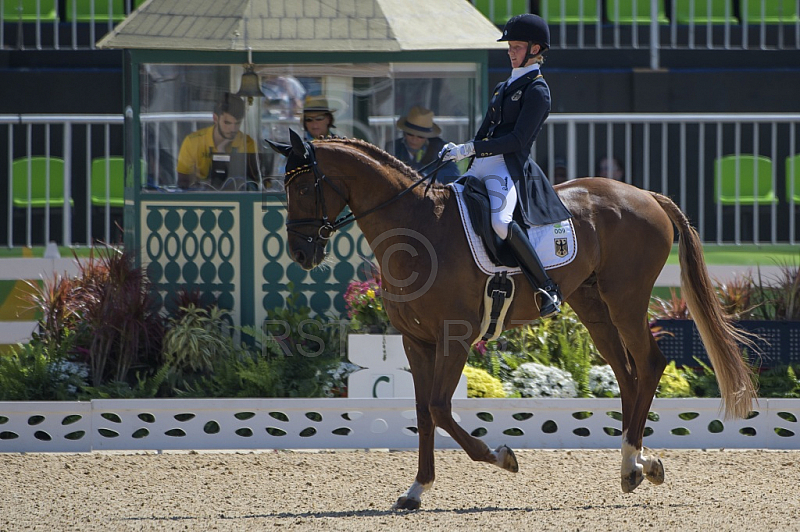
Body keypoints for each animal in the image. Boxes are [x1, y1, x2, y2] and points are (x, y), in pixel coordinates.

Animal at [268, 131, 756, 510]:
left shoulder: (455, 338)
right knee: (627, 372)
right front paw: (416, 490)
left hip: (626, 300)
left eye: (305, 187)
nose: (300, 254)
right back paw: (636, 463)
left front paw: (502, 456)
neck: (417, 228)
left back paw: (635, 464)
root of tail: (643, 194)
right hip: (592, 306)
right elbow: (424, 414)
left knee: (650, 363)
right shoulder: (415, 341)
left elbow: (440, 409)